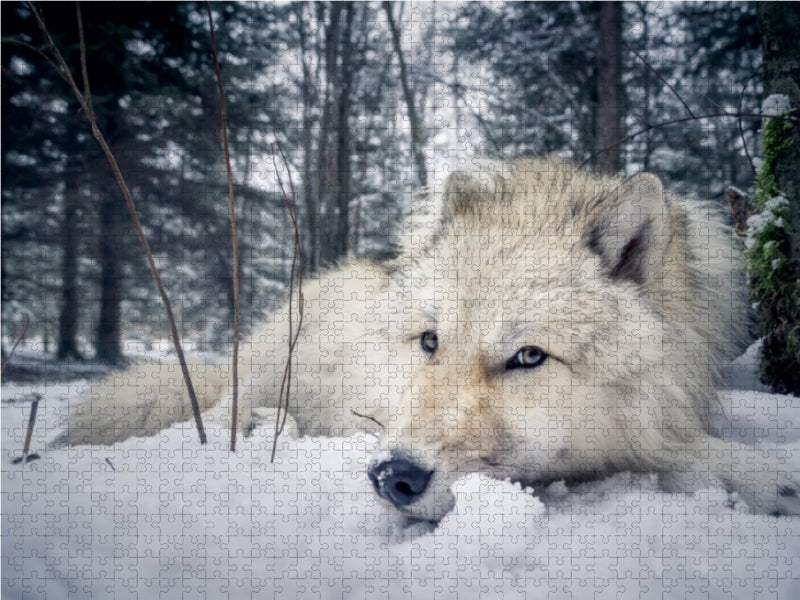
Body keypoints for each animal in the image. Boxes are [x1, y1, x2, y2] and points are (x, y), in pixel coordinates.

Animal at [58, 157, 800, 520]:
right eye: (430, 342)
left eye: (528, 356)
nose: (393, 477)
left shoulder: (644, 436)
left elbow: (688, 454)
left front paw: (769, 480)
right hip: (275, 363)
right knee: (220, 411)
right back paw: (271, 423)